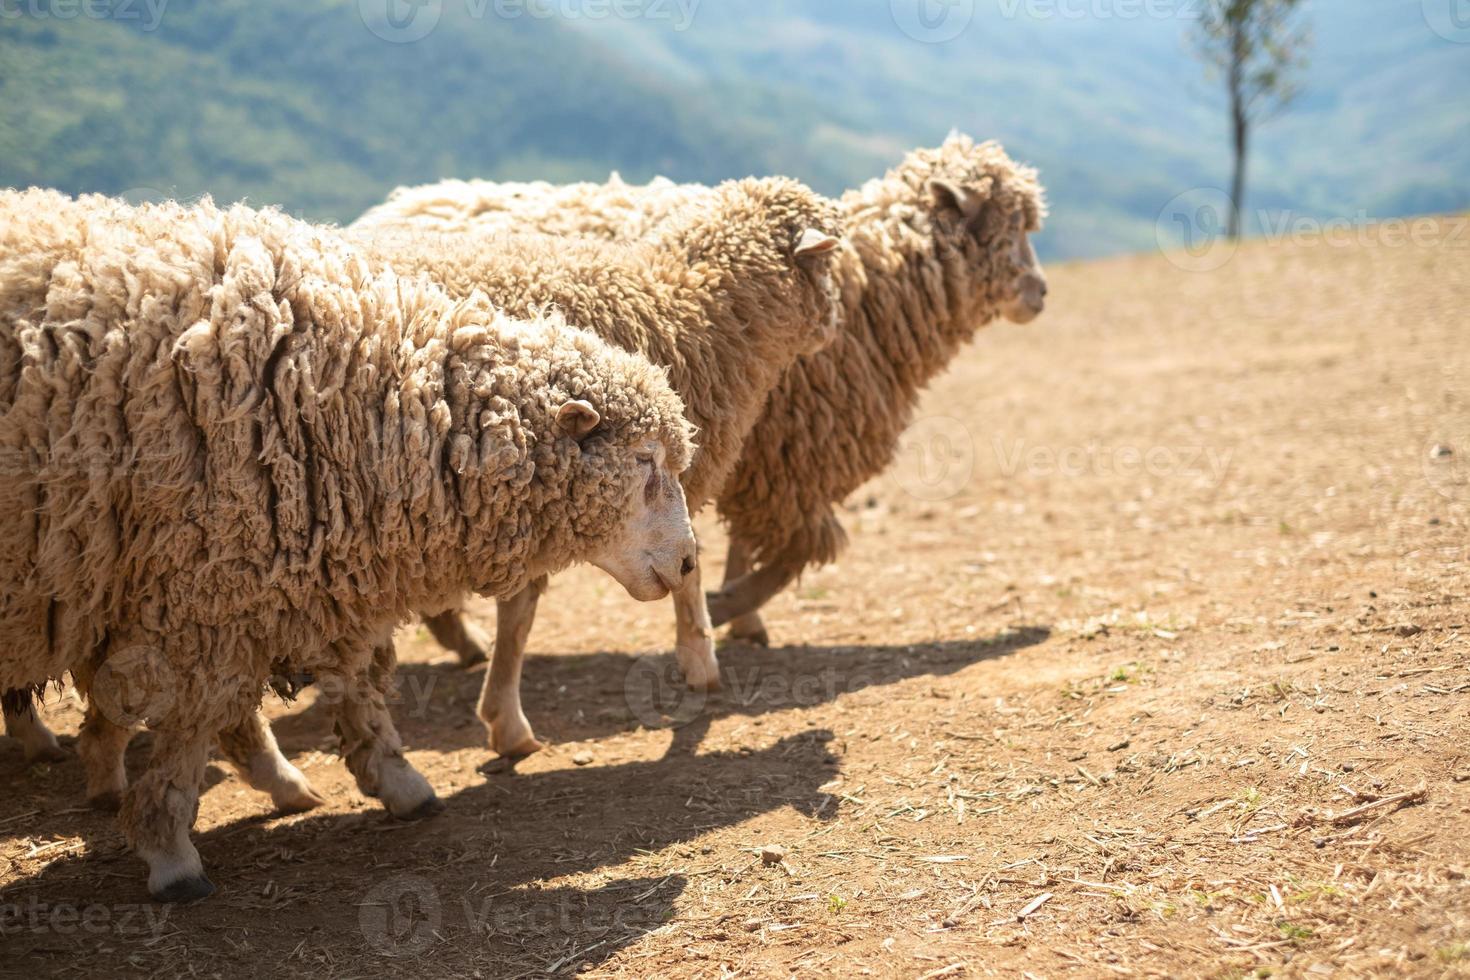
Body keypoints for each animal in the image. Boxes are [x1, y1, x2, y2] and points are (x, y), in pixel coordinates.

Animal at [0, 188, 699, 899]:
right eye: (645, 459)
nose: (689, 561)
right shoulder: (207, 594)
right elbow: (194, 727)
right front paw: (170, 851)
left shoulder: (270, 580)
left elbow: (353, 684)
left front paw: (398, 782)